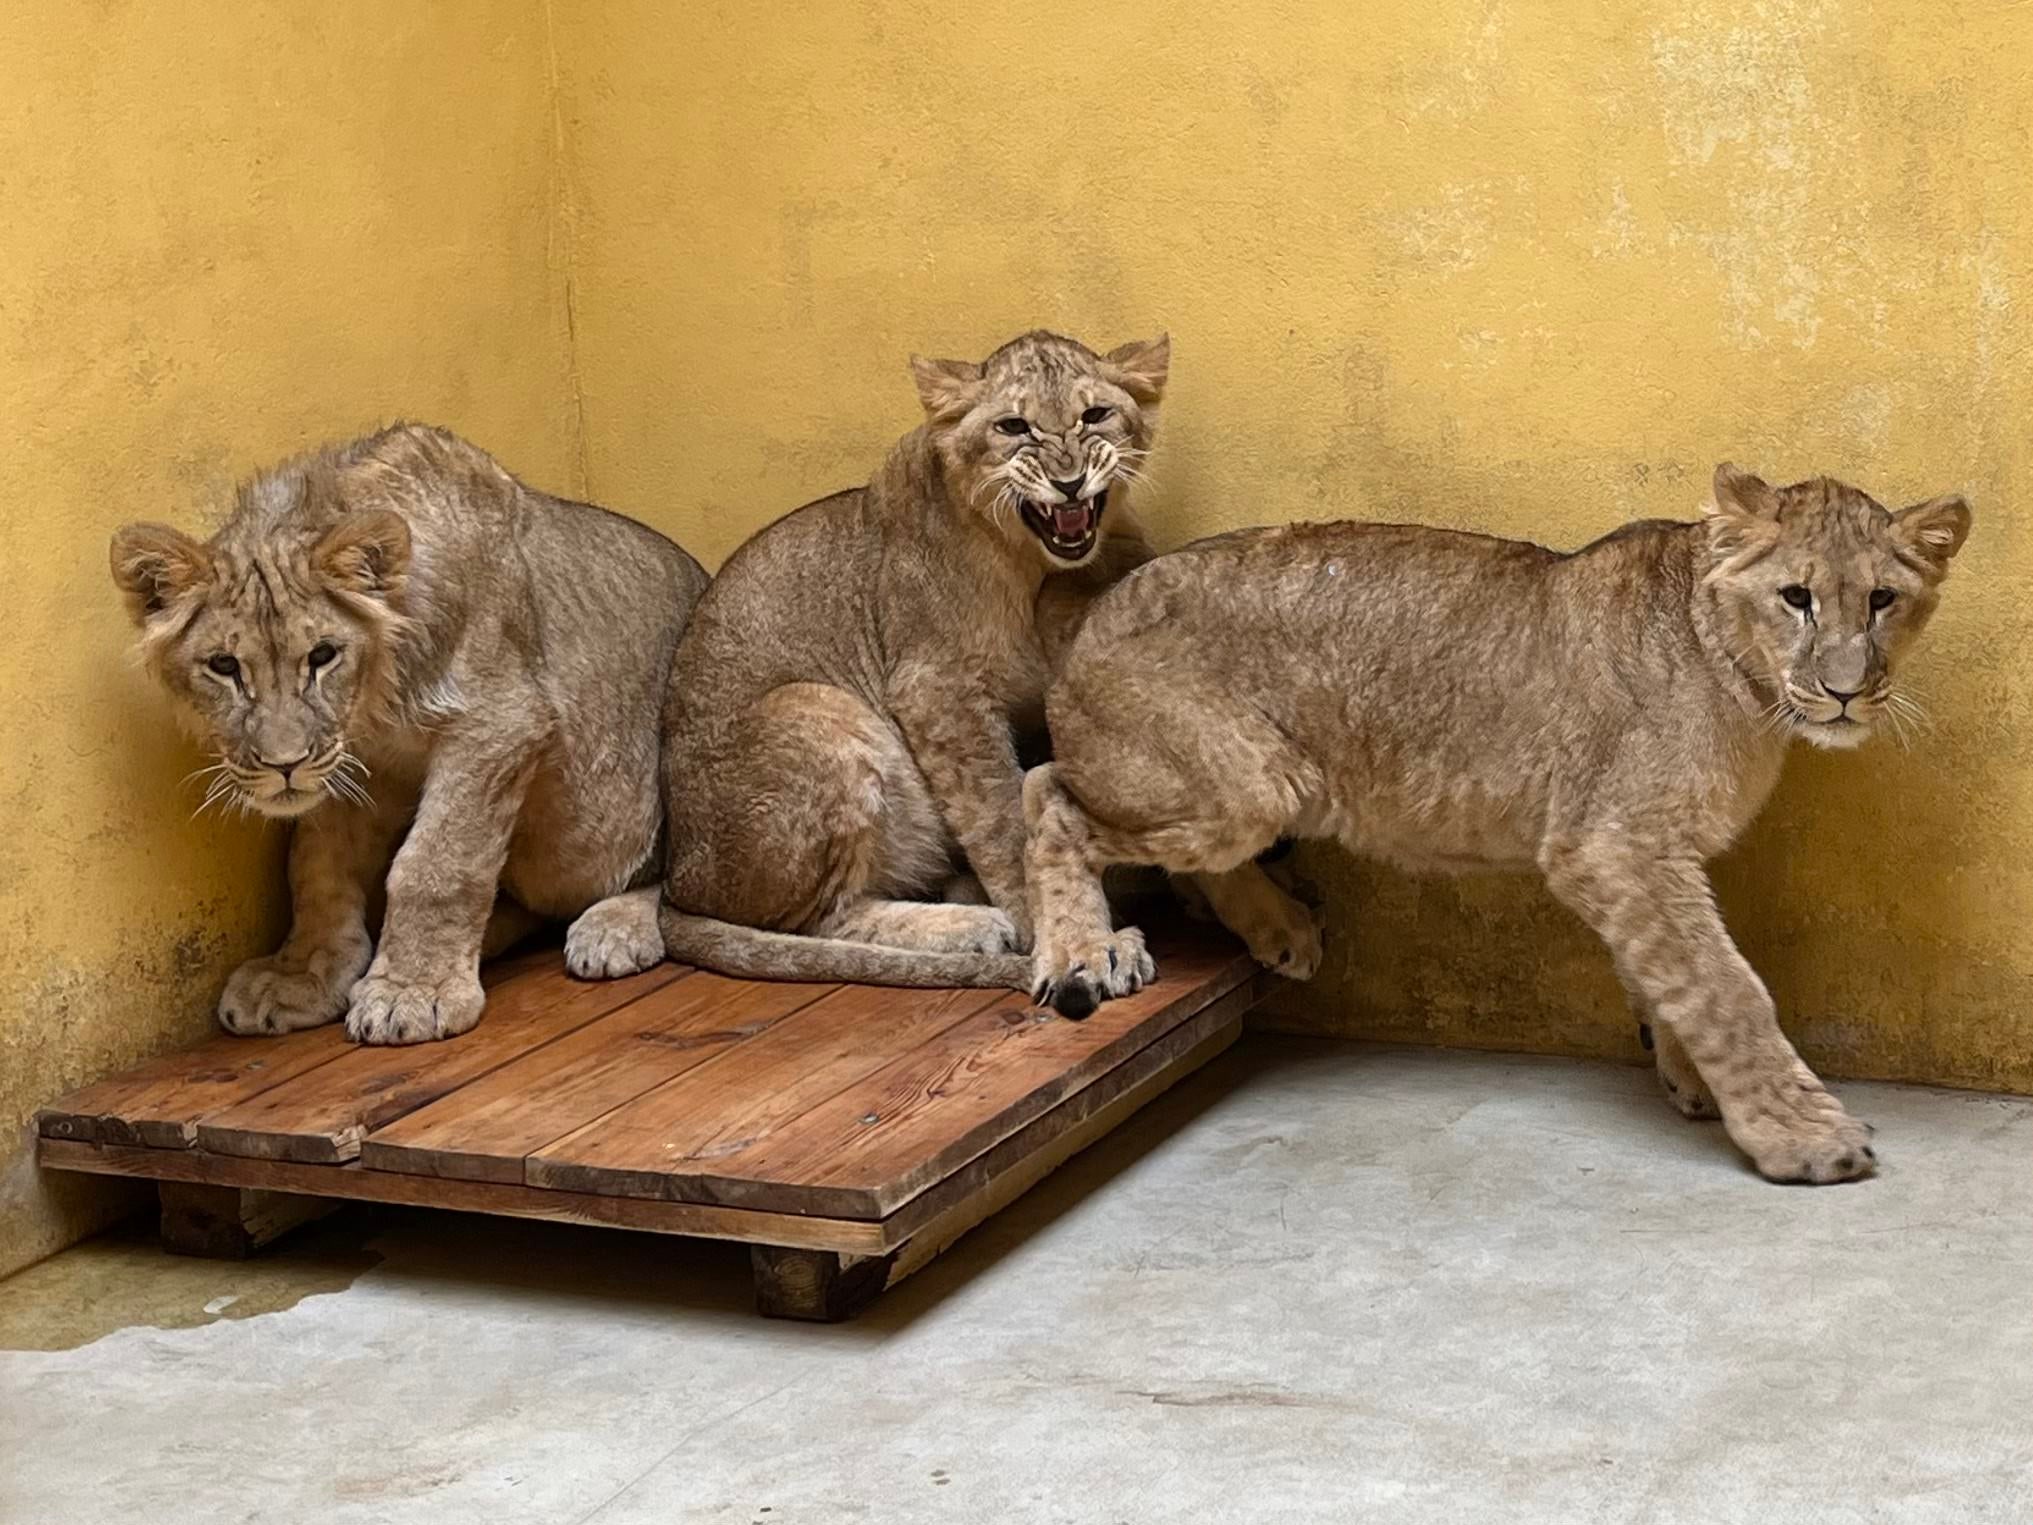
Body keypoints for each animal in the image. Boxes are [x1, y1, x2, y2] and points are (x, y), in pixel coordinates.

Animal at [110, 424, 708, 1044]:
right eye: (224, 666)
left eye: (322, 656)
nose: (284, 765)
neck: (375, 702)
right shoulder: (356, 764)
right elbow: (316, 867)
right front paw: (302, 977)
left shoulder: (500, 721)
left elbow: (435, 863)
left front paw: (411, 991)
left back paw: (614, 927)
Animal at [657, 330, 1168, 985]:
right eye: (1014, 426)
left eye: (1095, 415)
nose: (1070, 481)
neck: (1033, 565)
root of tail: (677, 879)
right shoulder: (936, 690)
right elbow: (1002, 817)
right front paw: (1065, 936)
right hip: (812, 707)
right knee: (821, 920)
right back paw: (971, 928)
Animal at [1024, 464, 1971, 1184]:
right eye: (1796, 597)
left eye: (1882, 599)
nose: (1846, 691)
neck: (1742, 679)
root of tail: (1091, 615)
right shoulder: (1610, 841)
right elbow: (1724, 985)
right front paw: (1803, 1137)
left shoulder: (1638, 857)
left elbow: (1667, 972)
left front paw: (1686, 1074)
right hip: (1246, 784)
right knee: (1047, 794)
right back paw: (1082, 954)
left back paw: (1279, 928)